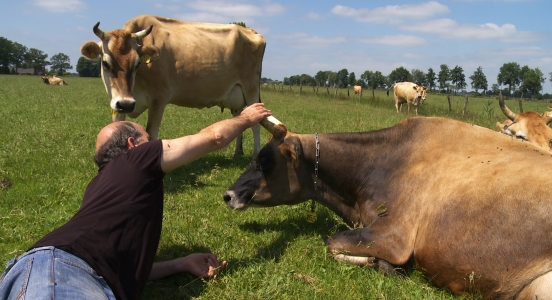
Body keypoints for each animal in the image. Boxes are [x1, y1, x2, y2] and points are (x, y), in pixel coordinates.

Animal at [79, 14, 266, 157]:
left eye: (138, 63)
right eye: (105, 63)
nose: (126, 103)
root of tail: (251, 31)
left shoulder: (159, 99)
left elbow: (151, 133)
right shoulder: (117, 104)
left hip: (251, 88)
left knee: (256, 124)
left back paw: (256, 156)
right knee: (241, 118)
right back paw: (237, 153)